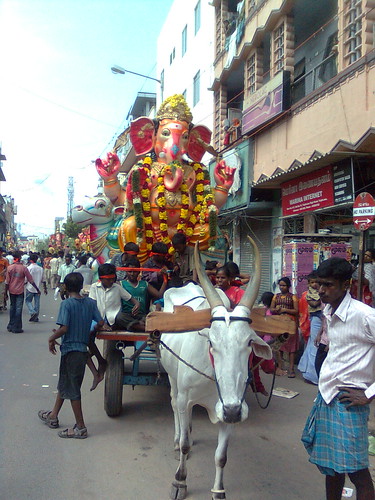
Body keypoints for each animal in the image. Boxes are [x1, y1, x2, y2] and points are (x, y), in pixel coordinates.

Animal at [160, 238, 272, 500]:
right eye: (211, 342)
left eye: (249, 342)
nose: (232, 411)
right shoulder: (187, 398)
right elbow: (185, 445)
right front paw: (180, 481)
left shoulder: (230, 409)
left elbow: (221, 457)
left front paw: (219, 491)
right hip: (172, 379)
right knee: (174, 405)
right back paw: (177, 436)